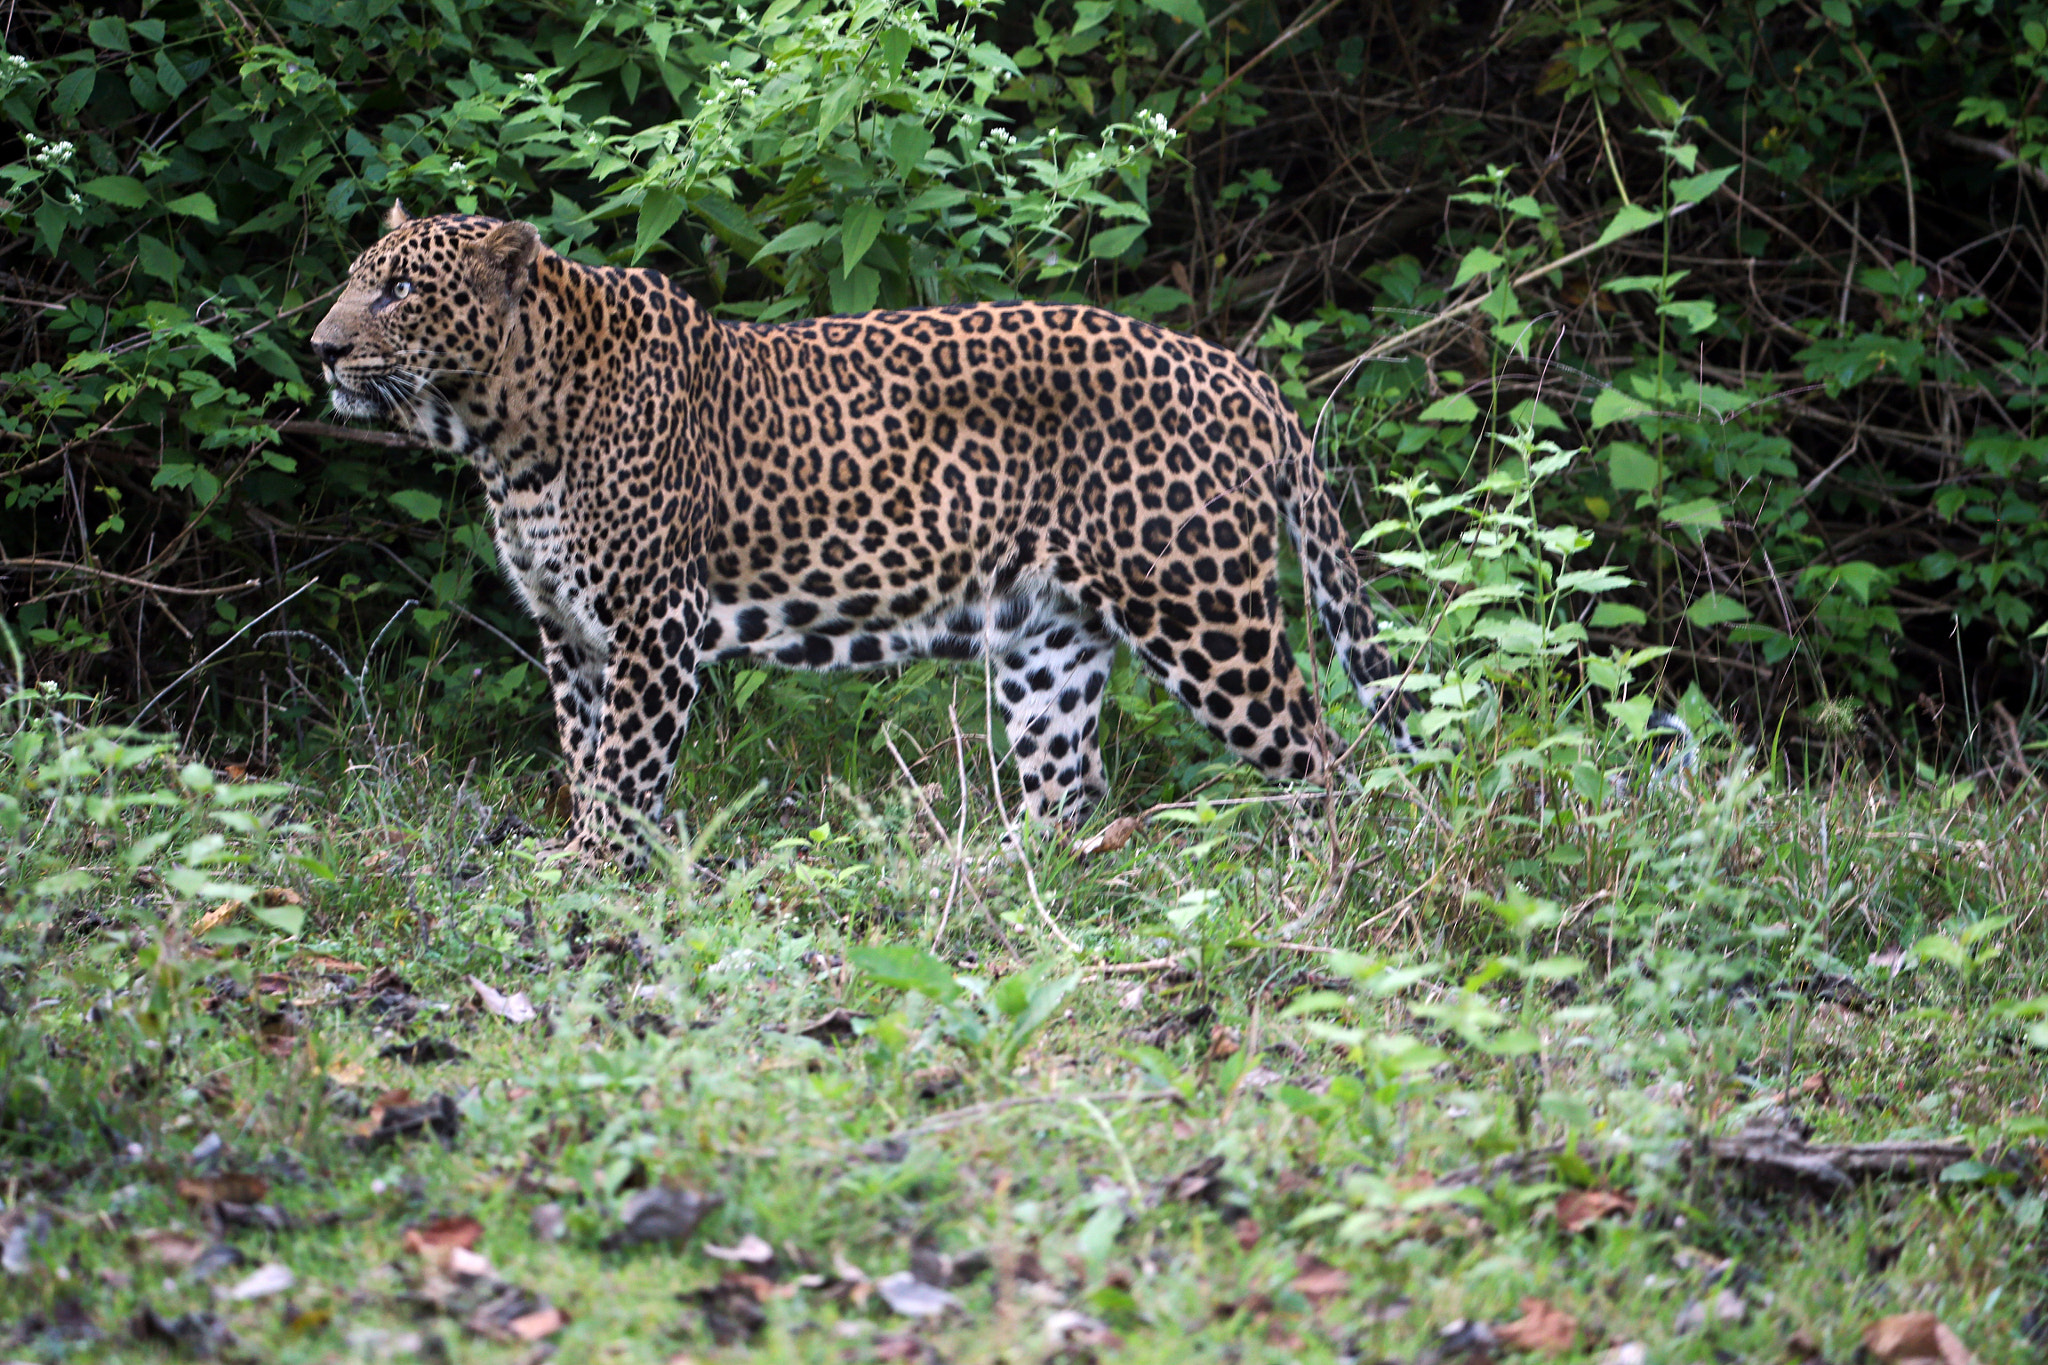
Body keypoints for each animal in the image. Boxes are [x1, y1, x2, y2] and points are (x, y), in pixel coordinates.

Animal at [310, 204, 1413, 869]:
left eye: (400, 290)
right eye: (358, 277)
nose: (319, 347)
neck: (506, 428)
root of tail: (1242, 376)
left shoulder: (652, 625)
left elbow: (623, 770)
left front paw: (590, 879)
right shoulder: (568, 631)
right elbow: (585, 760)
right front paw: (583, 863)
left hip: (1203, 614)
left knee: (1324, 751)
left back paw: (1326, 873)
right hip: (1047, 635)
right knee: (1070, 780)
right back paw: (981, 872)